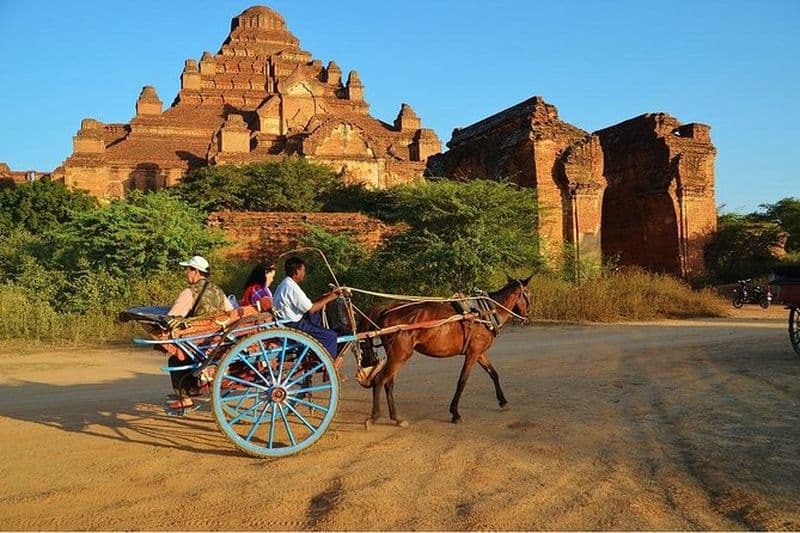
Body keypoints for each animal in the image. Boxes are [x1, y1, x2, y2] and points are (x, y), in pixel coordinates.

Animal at [360, 275, 531, 426]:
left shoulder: (479, 353)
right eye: (528, 294)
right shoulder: (472, 354)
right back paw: (375, 416)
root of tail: (388, 309)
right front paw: (455, 413)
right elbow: (462, 381)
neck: (485, 313)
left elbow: (493, 373)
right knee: (380, 380)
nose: (528, 318)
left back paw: (396, 418)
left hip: (395, 355)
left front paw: (503, 401)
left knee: (388, 383)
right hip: (400, 355)